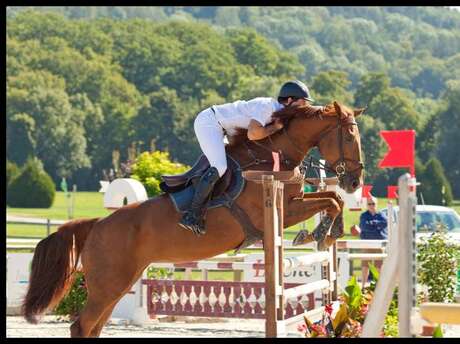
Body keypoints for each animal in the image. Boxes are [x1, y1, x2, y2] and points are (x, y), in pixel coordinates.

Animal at [23, 101, 362, 338]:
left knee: (93, 326)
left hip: (119, 283)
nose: (355, 181)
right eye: (349, 136)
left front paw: (327, 232)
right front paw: (318, 233)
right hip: (109, 284)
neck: (274, 154)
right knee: (82, 326)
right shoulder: (284, 209)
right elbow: (330, 201)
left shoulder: (295, 202)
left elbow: (332, 199)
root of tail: (95, 224)